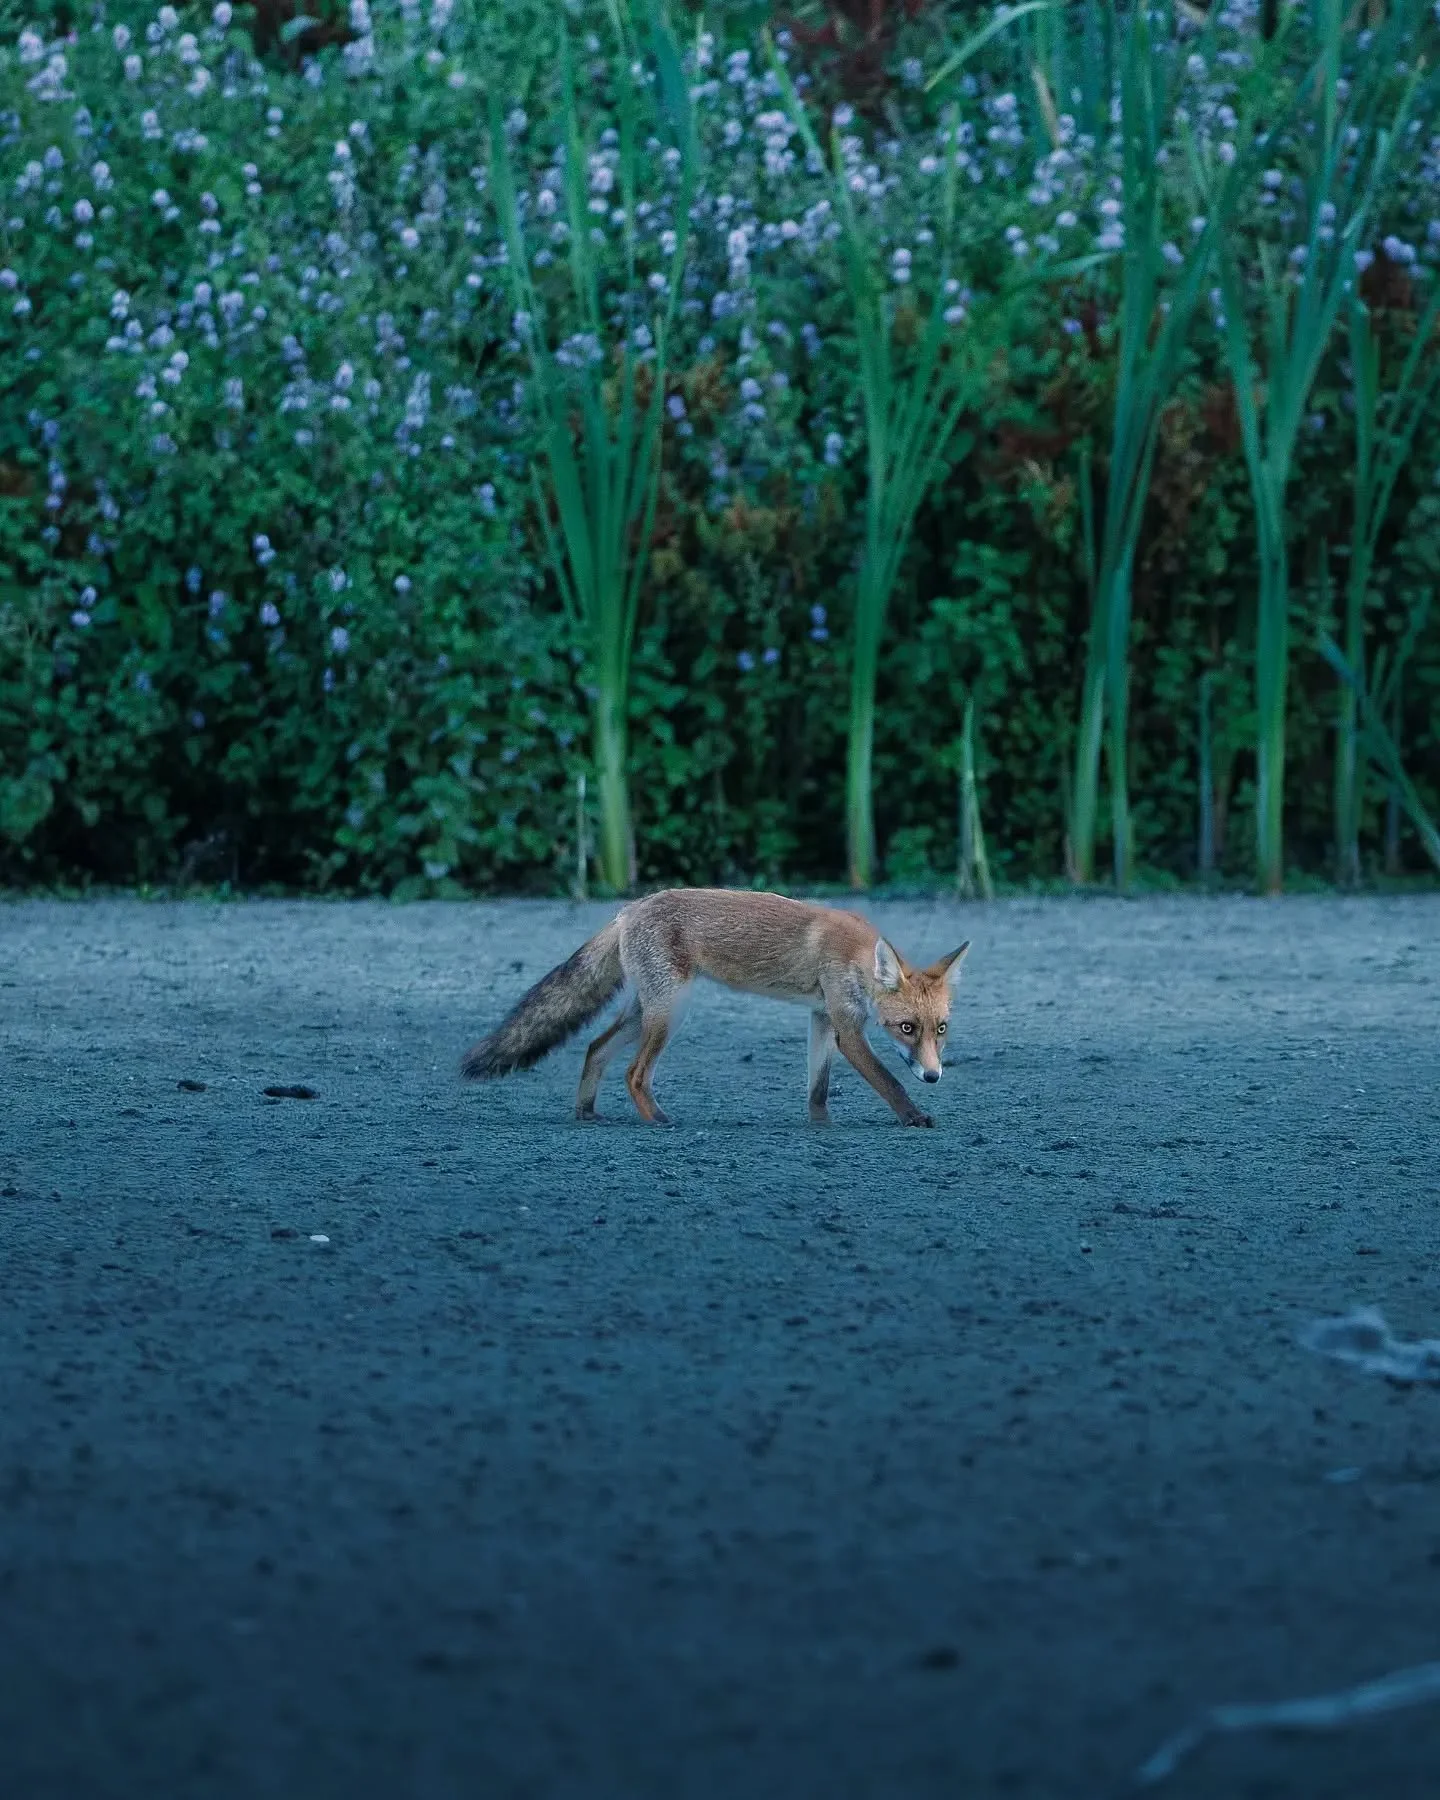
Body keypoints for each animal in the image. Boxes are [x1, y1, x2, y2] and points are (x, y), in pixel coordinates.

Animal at [460, 888, 969, 1127]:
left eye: (941, 1029)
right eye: (906, 1028)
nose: (933, 1076)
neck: (857, 956)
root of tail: (629, 909)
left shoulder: (823, 1018)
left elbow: (818, 1088)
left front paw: (820, 1124)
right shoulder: (848, 1029)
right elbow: (888, 1081)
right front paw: (914, 1117)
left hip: (645, 1012)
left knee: (594, 1048)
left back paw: (586, 1113)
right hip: (671, 1012)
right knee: (633, 1073)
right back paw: (658, 1121)